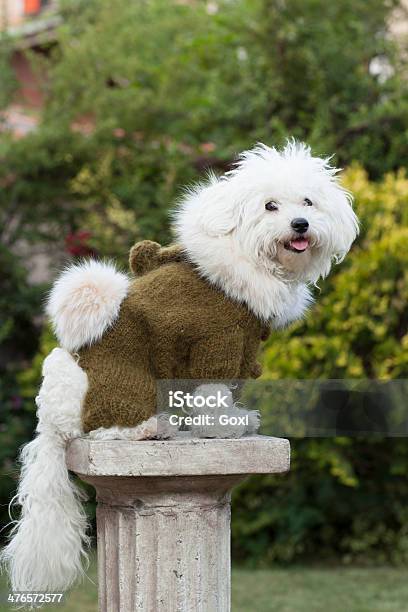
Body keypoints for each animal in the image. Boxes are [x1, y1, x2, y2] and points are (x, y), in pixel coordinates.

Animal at [0, 140, 356, 592]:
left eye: (308, 201)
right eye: (270, 206)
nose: (300, 224)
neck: (243, 259)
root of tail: (49, 415)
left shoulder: (242, 349)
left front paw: (238, 419)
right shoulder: (218, 341)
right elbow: (213, 391)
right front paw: (222, 427)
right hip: (125, 382)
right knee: (107, 428)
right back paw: (156, 426)